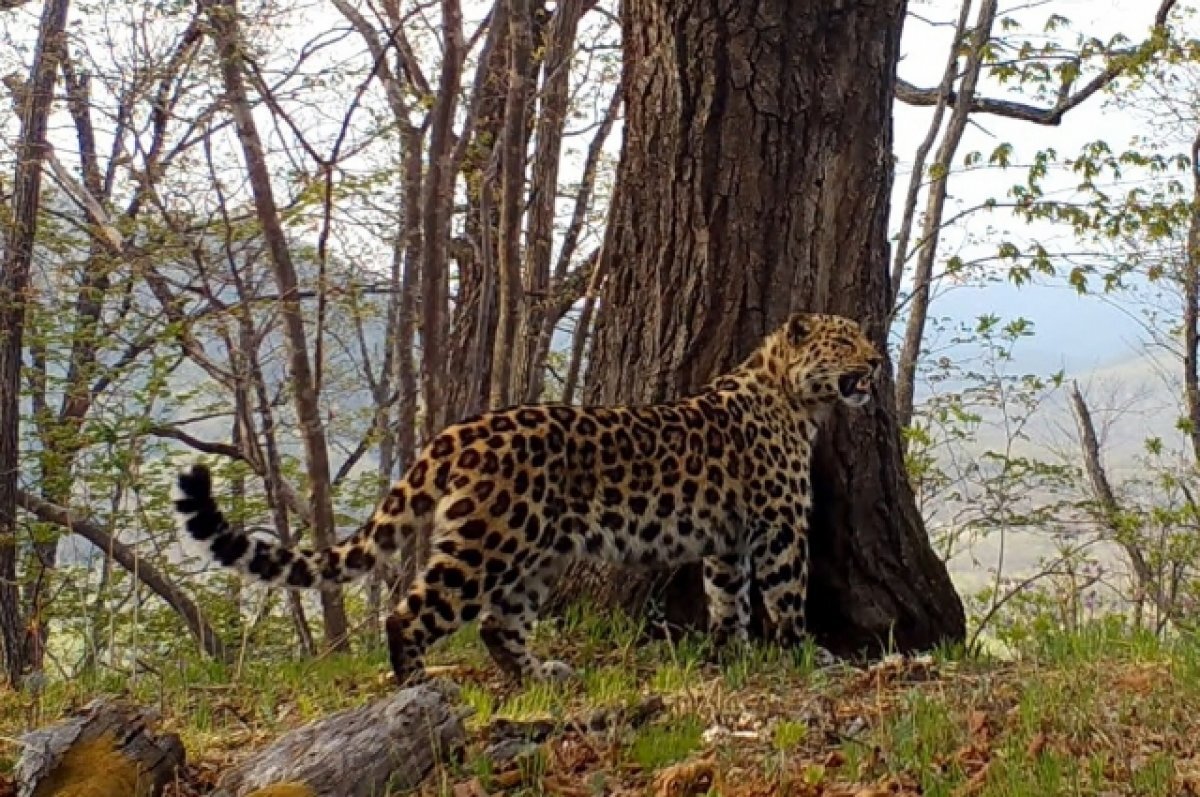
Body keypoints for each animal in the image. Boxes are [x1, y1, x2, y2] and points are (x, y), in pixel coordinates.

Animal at [175, 312, 883, 686]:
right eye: (846, 341)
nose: (878, 362)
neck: (797, 399)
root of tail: (455, 431)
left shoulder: (728, 540)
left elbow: (727, 599)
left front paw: (730, 655)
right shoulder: (780, 528)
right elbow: (785, 595)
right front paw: (805, 654)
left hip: (538, 555)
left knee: (498, 622)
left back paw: (538, 677)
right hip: (487, 545)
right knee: (412, 611)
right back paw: (415, 685)